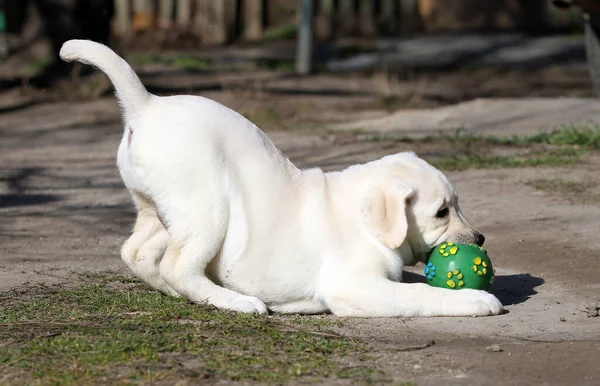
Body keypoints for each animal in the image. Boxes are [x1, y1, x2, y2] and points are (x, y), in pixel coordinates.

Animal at [61, 40, 504, 316]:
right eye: (442, 212)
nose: (481, 239)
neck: (364, 222)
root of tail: (147, 105)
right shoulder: (355, 286)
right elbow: (417, 292)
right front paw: (475, 300)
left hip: (159, 209)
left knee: (136, 252)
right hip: (207, 207)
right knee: (178, 265)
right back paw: (237, 302)